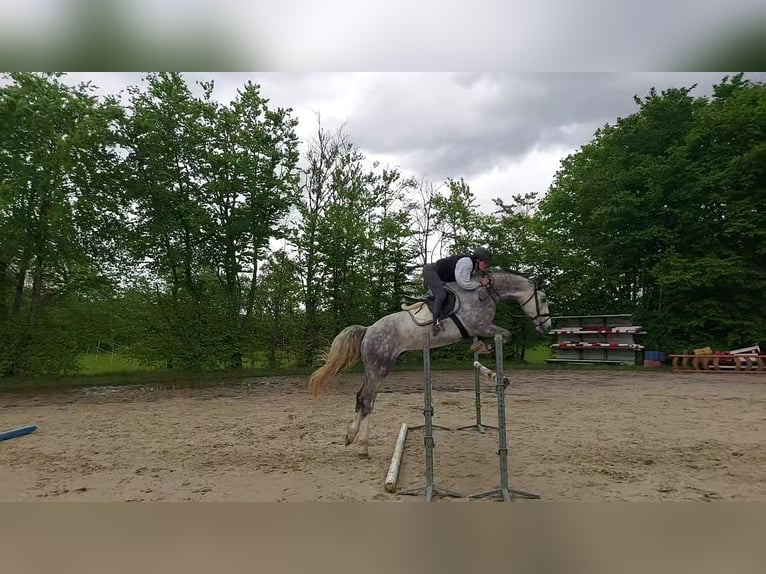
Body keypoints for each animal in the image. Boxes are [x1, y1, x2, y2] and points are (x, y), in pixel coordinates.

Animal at [308, 270, 548, 460]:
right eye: (544, 298)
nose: (546, 326)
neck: (482, 293)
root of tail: (368, 330)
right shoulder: (480, 325)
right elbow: (507, 334)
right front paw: (482, 347)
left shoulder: (481, 328)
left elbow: (501, 336)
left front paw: (478, 347)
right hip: (380, 368)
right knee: (367, 400)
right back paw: (363, 447)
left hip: (372, 368)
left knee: (360, 397)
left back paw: (350, 436)